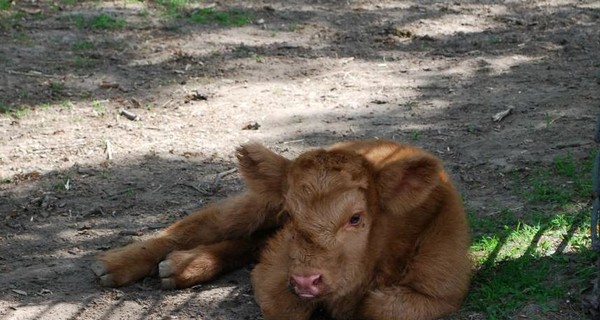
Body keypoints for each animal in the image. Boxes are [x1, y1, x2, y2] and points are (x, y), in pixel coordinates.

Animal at [91, 141, 472, 320]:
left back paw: (182, 267)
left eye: (356, 218)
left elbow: (378, 306)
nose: (305, 280)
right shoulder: (275, 270)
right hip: (255, 204)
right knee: (203, 223)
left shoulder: (441, 293)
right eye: (291, 213)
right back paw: (113, 265)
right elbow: (287, 306)